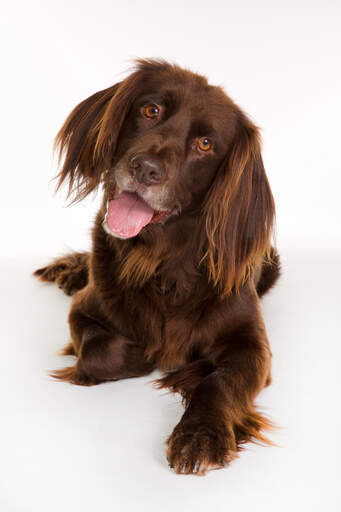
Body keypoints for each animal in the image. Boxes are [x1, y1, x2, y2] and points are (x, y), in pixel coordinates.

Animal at [34, 60, 278, 476]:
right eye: (151, 110)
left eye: (205, 144)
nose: (146, 169)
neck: (161, 263)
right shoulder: (84, 310)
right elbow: (104, 351)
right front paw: (148, 355)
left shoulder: (252, 344)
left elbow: (221, 382)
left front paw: (200, 435)